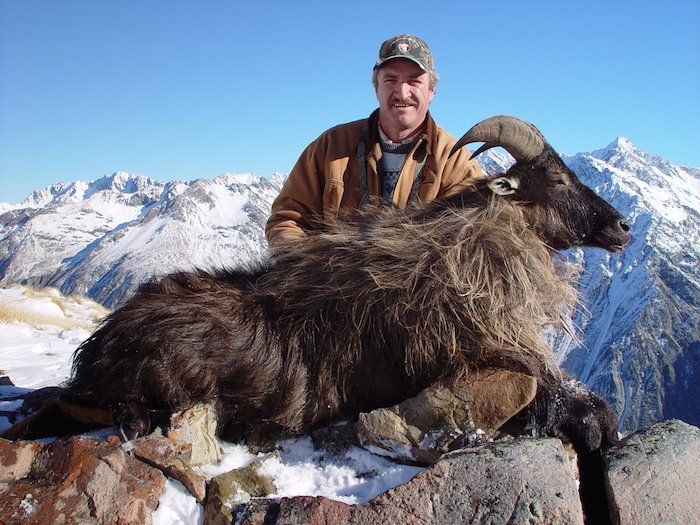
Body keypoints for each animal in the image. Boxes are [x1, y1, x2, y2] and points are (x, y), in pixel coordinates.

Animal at [4, 116, 630, 455]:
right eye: (556, 179)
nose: (623, 227)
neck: (460, 254)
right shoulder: (480, 359)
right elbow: (579, 406)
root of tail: (102, 346)